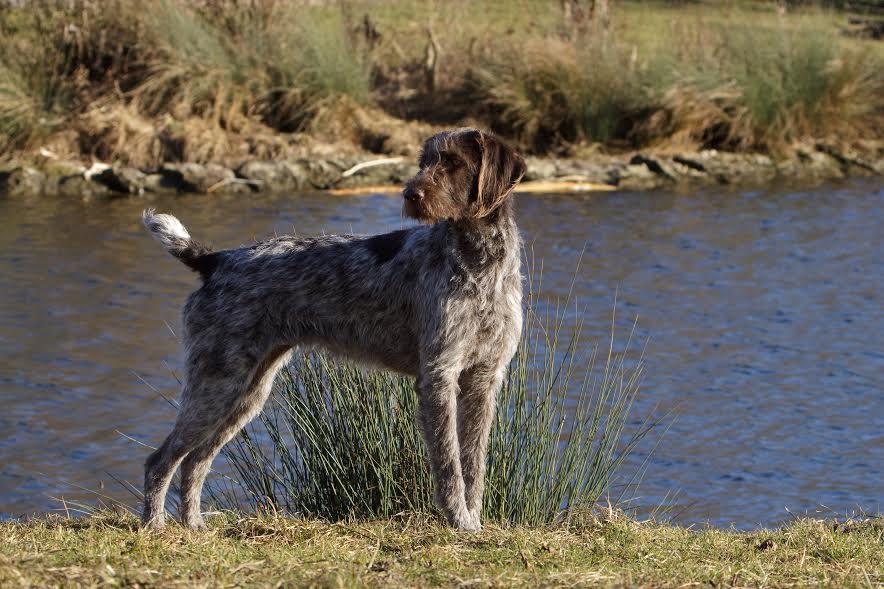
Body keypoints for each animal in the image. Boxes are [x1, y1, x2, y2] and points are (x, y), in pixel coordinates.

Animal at [140, 127, 524, 528]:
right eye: (424, 162)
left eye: (452, 162)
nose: (409, 194)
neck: (479, 262)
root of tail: (214, 260)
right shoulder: (439, 375)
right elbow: (450, 464)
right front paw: (460, 521)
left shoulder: (483, 378)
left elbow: (474, 464)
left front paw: (474, 521)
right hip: (217, 384)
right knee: (161, 461)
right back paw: (155, 525)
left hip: (246, 392)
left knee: (196, 461)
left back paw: (193, 526)